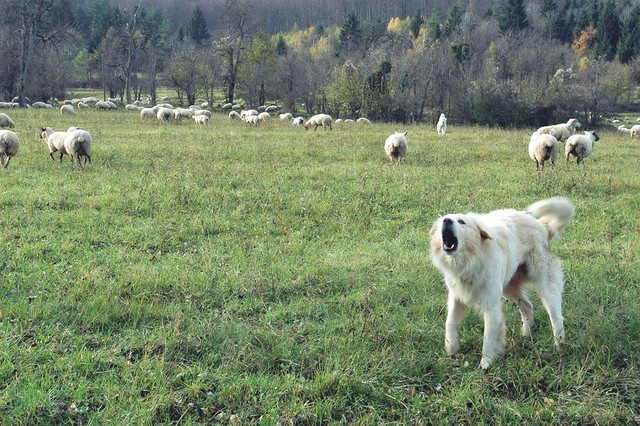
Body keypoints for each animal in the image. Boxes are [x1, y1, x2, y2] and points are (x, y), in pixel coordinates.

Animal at [430, 198, 576, 368]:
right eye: (443, 220)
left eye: (461, 221)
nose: (446, 221)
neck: (470, 261)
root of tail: (541, 225)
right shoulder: (456, 297)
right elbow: (450, 323)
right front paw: (451, 350)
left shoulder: (491, 307)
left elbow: (488, 339)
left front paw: (485, 365)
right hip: (509, 288)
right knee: (527, 305)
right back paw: (527, 334)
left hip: (545, 285)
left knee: (556, 317)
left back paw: (559, 345)